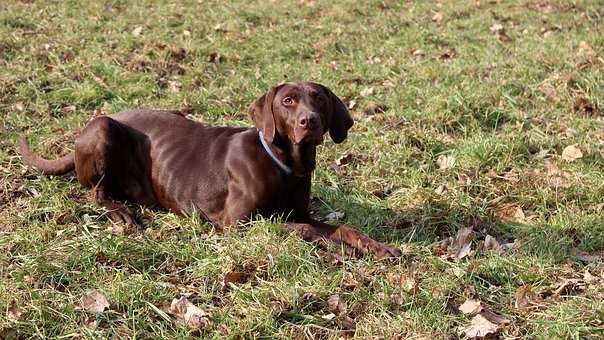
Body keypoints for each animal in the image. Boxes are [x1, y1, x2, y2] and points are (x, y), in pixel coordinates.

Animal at [20, 81, 402, 258]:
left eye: (319, 99)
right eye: (287, 101)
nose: (310, 121)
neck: (283, 164)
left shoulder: (299, 213)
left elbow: (343, 228)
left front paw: (378, 247)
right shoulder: (240, 224)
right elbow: (306, 231)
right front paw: (342, 251)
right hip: (103, 128)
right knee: (97, 192)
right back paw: (121, 212)